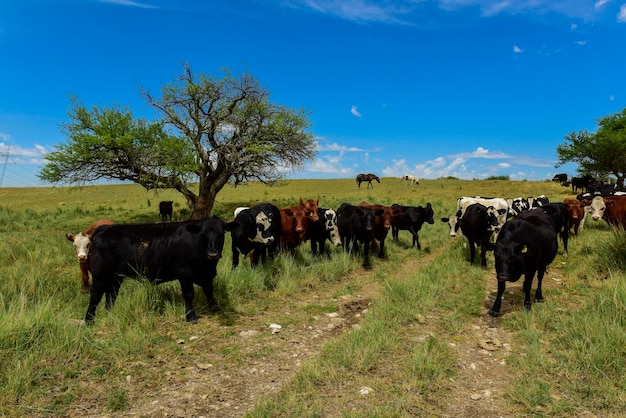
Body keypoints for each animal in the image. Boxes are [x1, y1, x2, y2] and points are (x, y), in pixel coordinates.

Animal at [84, 217, 235, 324]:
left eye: (222, 233)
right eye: (203, 234)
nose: (213, 254)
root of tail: (106, 228)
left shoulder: (207, 275)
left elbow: (209, 291)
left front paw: (216, 308)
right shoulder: (185, 274)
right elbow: (189, 295)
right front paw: (191, 317)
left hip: (116, 276)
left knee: (111, 295)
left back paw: (110, 314)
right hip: (100, 275)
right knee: (95, 296)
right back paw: (89, 321)